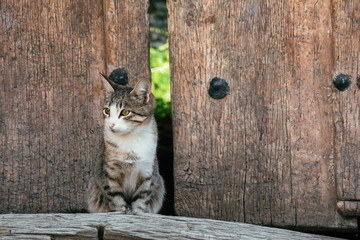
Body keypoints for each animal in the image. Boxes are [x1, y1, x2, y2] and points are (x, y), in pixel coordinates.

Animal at [87, 73, 166, 214]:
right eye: (107, 111)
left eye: (125, 112)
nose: (110, 124)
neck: (131, 138)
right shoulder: (110, 172)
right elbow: (115, 197)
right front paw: (121, 212)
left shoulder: (147, 171)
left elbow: (142, 197)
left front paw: (138, 212)